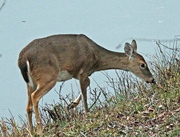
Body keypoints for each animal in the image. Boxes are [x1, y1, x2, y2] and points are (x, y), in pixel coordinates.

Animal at [18, 34, 156, 135]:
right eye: (142, 64)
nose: (152, 80)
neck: (97, 59)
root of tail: (23, 58)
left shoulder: (78, 73)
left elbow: (87, 84)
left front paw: (71, 104)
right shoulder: (84, 70)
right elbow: (85, 92)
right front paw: (86, 112)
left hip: (31, 82)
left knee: (28, 105)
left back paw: (32, 132)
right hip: (48, 77)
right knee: (35, 96)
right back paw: (39, 131)